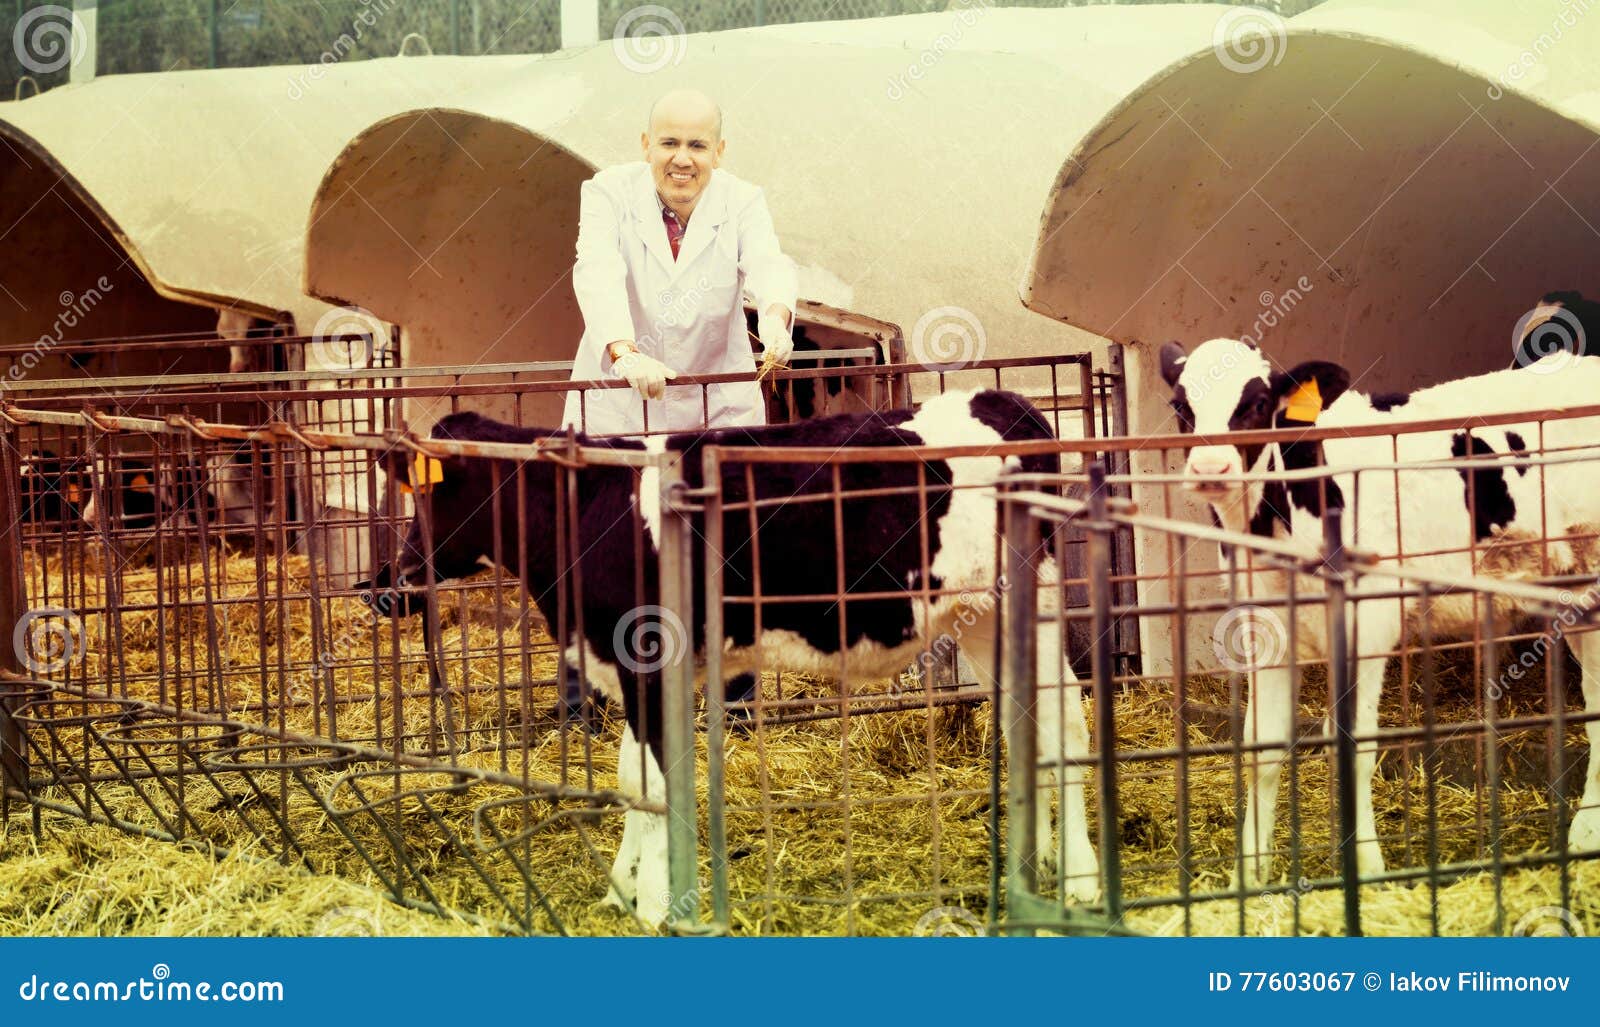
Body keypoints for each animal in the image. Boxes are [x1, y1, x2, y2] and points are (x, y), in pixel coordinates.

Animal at [366, 387, 1100, 921]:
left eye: (430, 493)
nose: (388, 584)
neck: (590, 509)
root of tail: (1006, 400)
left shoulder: (644, 653)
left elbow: (656, 785)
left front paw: (656, 905)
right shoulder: (629, 664)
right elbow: (633, 778)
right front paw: (621, 888)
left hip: (1030, 593)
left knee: (1063, 722)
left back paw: (1083, 880)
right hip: (983, 618)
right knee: (1024, 721)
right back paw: (1032, 865)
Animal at [1158, 334, 1600, 883]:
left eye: (1257, 403)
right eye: (1181, 405)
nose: (1210, 469)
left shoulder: (1366, 627)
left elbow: (1353, 744)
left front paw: (1367, 866)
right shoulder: (1267, 634)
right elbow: (1262, 745)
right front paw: (1248, 876)